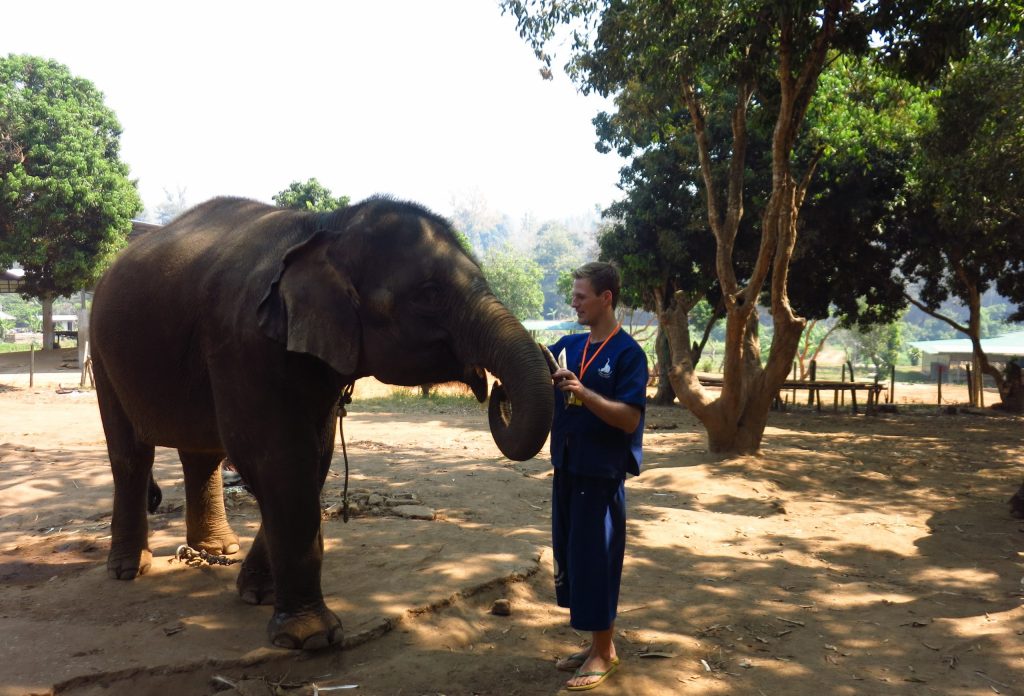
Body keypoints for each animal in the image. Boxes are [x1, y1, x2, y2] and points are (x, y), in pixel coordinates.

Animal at [89, 194, 557, 646]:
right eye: (428, 294)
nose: (499, 389)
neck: (326, 227)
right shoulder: (241, 343)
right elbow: (277, 457)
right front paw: (311, 637)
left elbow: (315, 457)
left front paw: (259, 595)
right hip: (102, 350)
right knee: (131, 456)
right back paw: (129, 569)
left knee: (201, 454)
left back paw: (219, 548)